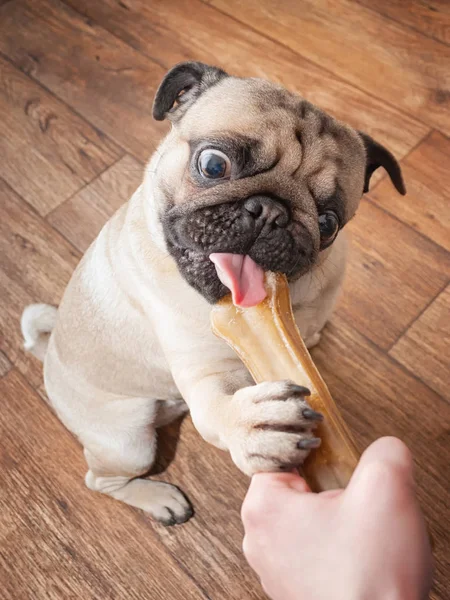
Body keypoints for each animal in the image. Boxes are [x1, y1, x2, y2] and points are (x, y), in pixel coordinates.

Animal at [22, 62, 404, 524]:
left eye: (328, 223)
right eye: (213, 165)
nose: (271, 212)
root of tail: (48, 357)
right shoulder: (206, 371)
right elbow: (217, 406)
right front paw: (250, 424)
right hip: (128, 440)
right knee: (101, 480)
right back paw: (159, 499)